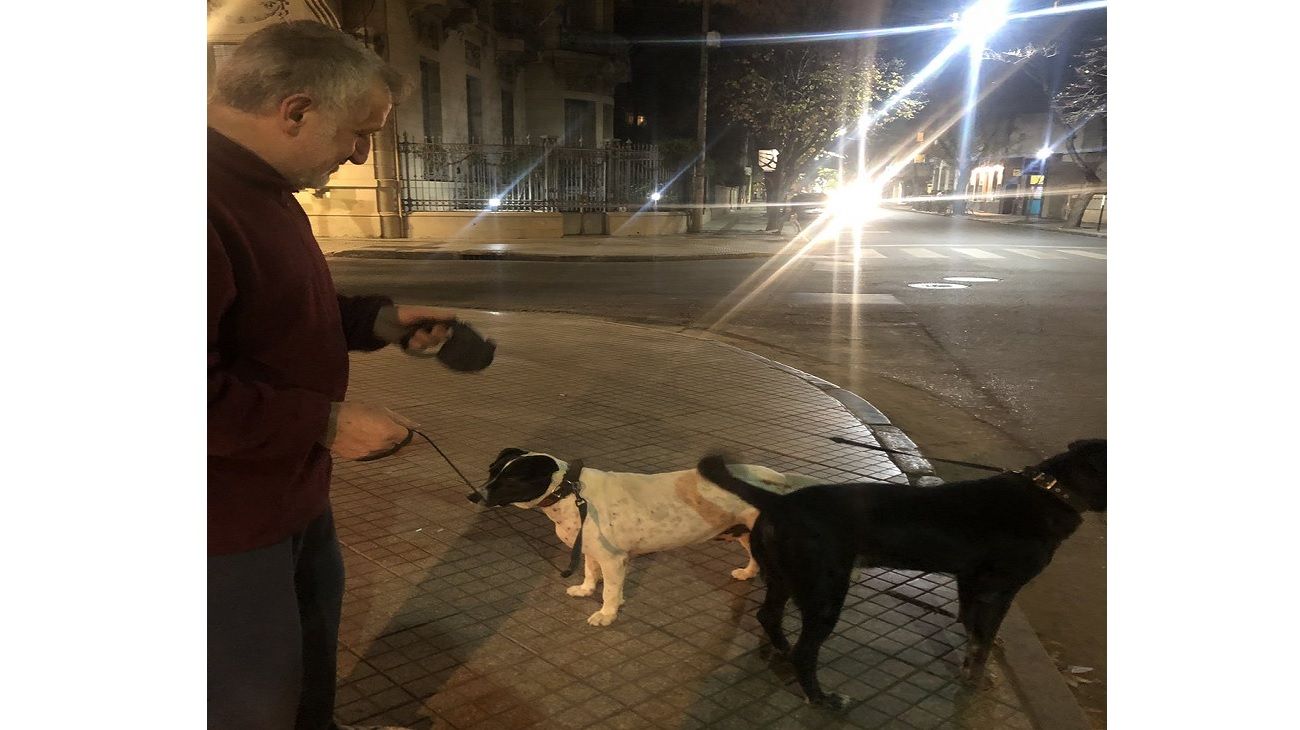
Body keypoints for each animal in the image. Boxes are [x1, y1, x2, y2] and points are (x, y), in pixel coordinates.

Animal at [473, 449, 816, 626]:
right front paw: (586, 590)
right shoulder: (591, 551)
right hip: (746, 533)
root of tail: (778, 481)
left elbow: (610, 591)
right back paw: (747, 573)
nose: (472, 495)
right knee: (753, 558)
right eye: (491, 470)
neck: (570, 494)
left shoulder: (613, 559)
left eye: (511, 480)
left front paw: (606, 614)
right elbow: (590, 574)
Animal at [702, 436, 1107, 706]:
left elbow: (972, 631)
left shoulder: (970, 581)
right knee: (806, 651)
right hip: (825, 593)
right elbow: (982, 643)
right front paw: (976, 681)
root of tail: (778, 502)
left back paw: (783, 650)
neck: (1053, 493)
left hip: (785, 578)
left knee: (769, 616)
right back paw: (824, 699)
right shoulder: (999, 590)